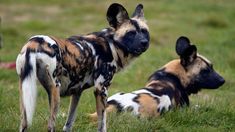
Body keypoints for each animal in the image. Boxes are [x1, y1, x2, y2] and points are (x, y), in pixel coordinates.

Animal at [16, 3, 150, 132]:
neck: (111, 44)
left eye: (145, 31)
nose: (144, 42)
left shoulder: (77, 92)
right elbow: (102, 124)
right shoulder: (101, 90)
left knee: (24, 124)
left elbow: (69, 123)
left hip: (26, 93)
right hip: (55, 91)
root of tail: (34, 43)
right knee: (50, 126)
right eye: (131, 33)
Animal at [89, 35, 224, 118]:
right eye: (205, 71)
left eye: (212, 67)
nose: (223, 80)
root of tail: (116, 106)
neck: (172, 74)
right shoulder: (186, 109)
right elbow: (199, 107)